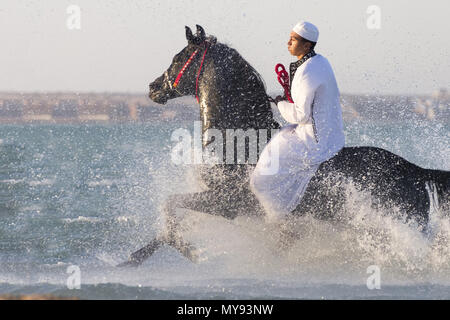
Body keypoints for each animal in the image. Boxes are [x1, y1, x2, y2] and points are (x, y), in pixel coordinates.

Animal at [118, 25, 448, 266]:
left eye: (178, 58)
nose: (153, 88)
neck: (240, 144)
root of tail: (417, 171)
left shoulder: (227, 202)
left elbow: (170, 205)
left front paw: (188, 250)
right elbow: (168, 222)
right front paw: (134, 258)